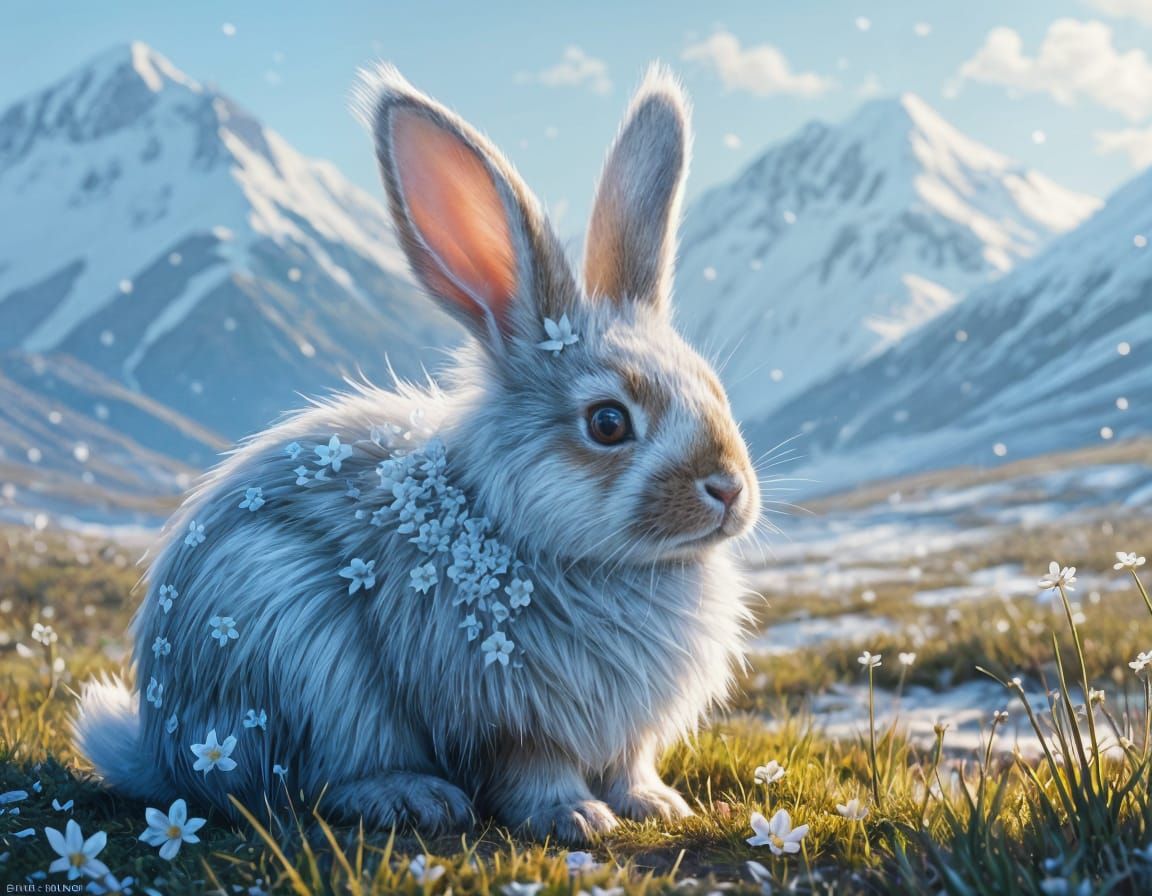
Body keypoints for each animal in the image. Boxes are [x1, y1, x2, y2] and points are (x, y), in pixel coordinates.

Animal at [74, 61, 761, 845]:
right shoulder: (505, 716)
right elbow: (533, 768)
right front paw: (575, 816)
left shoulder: (623, 733)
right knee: (302, 781)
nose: (728, 488)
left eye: (714, 388)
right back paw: (409, 796)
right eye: (609, 422)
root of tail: (160, 744)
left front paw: (656, 804)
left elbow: (631, 763)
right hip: (295, 664)